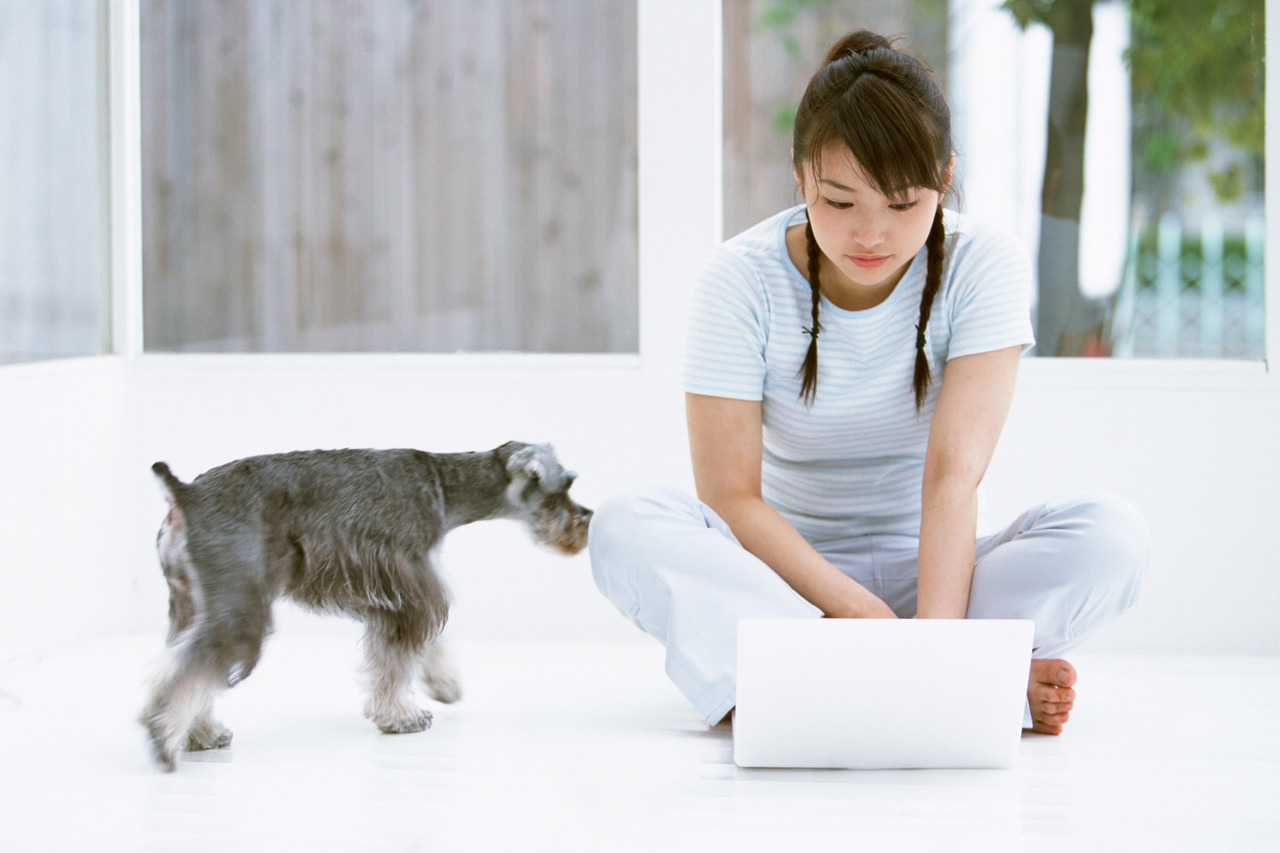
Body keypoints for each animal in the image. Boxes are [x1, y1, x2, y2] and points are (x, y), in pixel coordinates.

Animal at [137, 438, 596, 768]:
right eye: (565, 486)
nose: (585, 521)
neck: (445, 485)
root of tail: (185, 495)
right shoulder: (409, 591)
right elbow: (396, 663)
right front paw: (402, 717)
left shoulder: (406, 589)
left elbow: (424, 646)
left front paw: (443, 685)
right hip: (240, 605)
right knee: (193, 666)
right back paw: (162, 733)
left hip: (190, 605)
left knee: (180, 661)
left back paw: (198, 733)